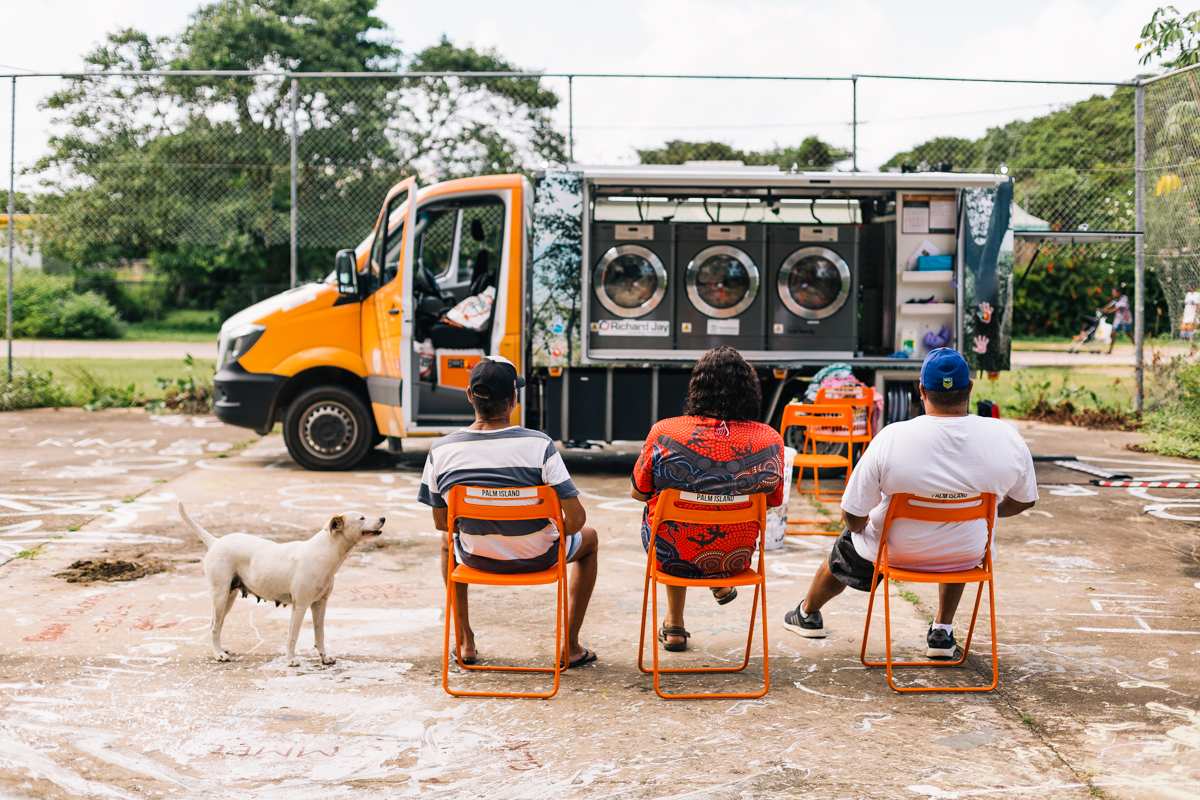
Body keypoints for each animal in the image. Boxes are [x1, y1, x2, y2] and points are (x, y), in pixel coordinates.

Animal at [180, 503, 384, 666]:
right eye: (361, 518)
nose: (383, 518)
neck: (324, 553)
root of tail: (215, 542)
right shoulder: (300, 606)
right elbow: (293, 636)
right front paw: (291, 660)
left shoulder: (320, 604)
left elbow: (320, 635)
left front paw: (325, 658)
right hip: (220, 595)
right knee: (214, 626)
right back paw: (219, 655)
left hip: (229, 597)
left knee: (218, 623)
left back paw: (221, 650)